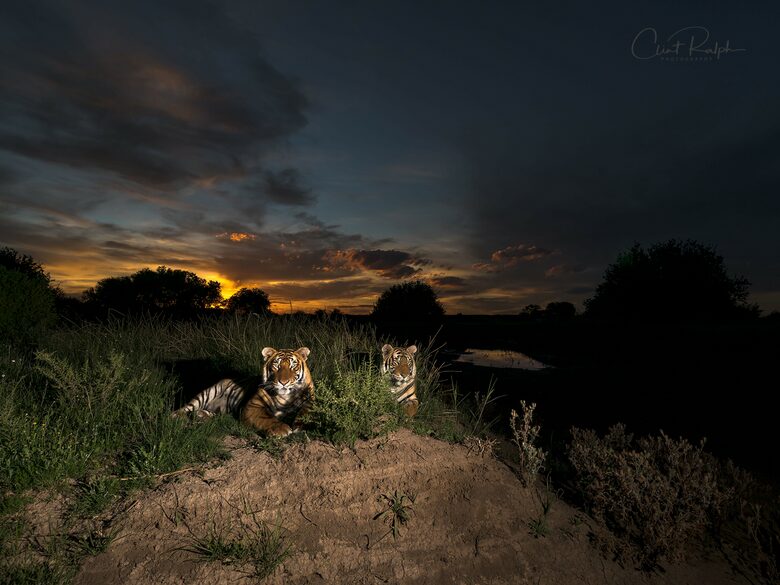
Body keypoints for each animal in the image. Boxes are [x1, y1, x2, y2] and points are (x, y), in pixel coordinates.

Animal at [172, 347, 314, 437]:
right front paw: (281, 429)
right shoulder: (253, 406)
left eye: (293, 366)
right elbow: (266, 418)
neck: (286, 397)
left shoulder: (309, 402)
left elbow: (306, 413)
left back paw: (203, 415)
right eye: (276, 365)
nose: (283, 382)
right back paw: (178, 417)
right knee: (185, 408)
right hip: (207, 393)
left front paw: (302, 426)